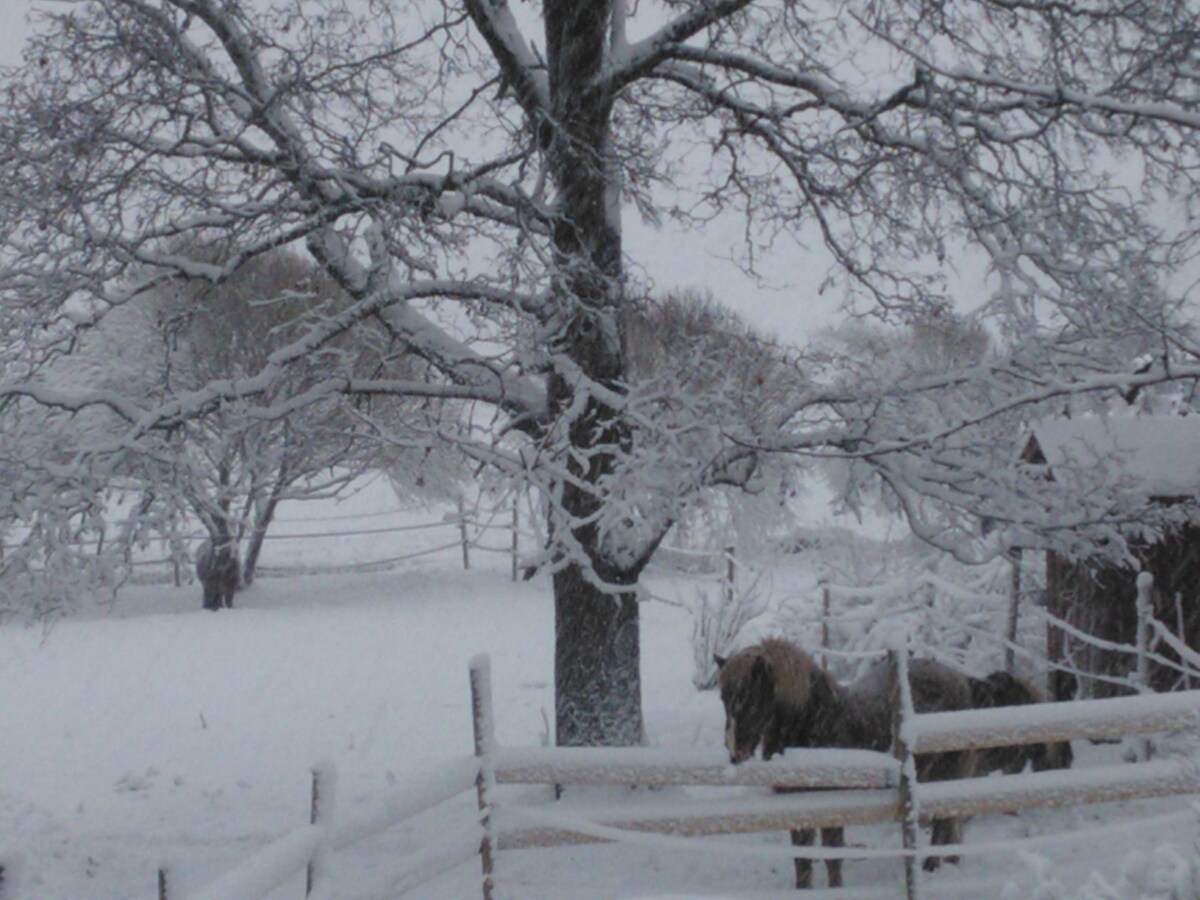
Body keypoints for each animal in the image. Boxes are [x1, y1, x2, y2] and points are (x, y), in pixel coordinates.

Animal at [710, 638, 974, 892]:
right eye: (723, 698)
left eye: (749, 699)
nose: (735, 752)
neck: (814, 722)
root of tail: (959, 680)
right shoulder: (797, 806)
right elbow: (802, 861)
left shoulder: (832, 807)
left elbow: (832, 856)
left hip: (947, 772)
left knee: (944, 822)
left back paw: (931, 866)